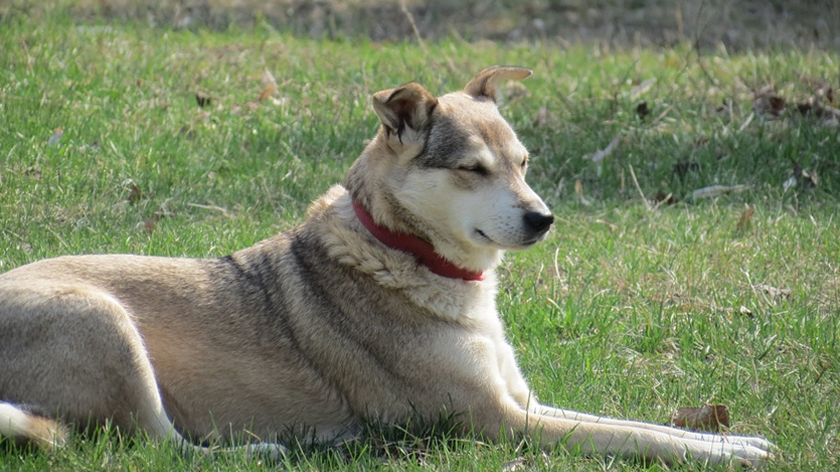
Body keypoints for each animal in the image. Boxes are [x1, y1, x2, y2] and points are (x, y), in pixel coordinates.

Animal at [0, 65, 772, 464]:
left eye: (523, 163)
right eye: (472, 169)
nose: (544, 218)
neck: (407, 255)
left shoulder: (522, 402)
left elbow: (649, 426)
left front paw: (734, 435)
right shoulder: (498, 422)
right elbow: (631, 437)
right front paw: (733, 455)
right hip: (104, 323)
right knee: (163, 448)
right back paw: (278, 449)